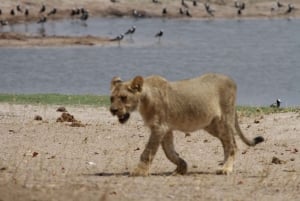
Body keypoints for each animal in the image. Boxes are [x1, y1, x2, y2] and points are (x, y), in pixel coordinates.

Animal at [109, 73, 264, 176]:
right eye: (111, 98)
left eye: (123, 97)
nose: (112, 110)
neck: (144, 99)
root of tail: (230, 79)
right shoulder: (166, 129)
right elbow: (169, 152)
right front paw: (181, 167)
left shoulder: (159, 128)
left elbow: (148, 151)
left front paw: (139, 171)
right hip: (212, 125)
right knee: (227, 143)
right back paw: (225, 165)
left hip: (225, 119)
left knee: (232, 144)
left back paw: (226, 168)